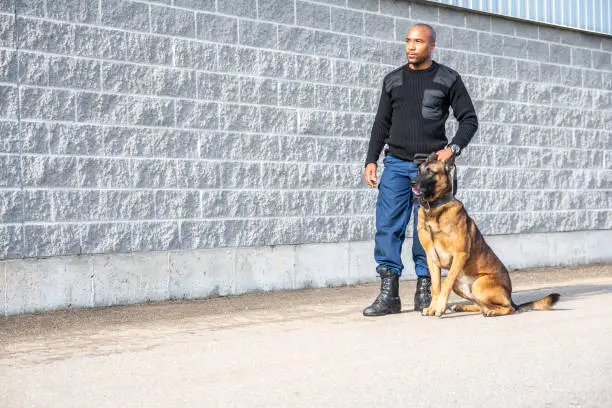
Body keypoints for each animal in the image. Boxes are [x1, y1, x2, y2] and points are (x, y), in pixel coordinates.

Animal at [412, 151, 560, 318]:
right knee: (480, 304)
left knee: (508, 308)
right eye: (419, 171)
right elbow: (435, 287)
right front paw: (432, 307)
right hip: (461, 285)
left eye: (430, 171)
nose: (412, 183)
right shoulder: (432, 258)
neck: (435, 209)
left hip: (479, 285)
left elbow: (445, 284)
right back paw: (467, 307)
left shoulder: (460, 254)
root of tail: (510, 295)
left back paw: (492, 312)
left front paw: (440, 308)